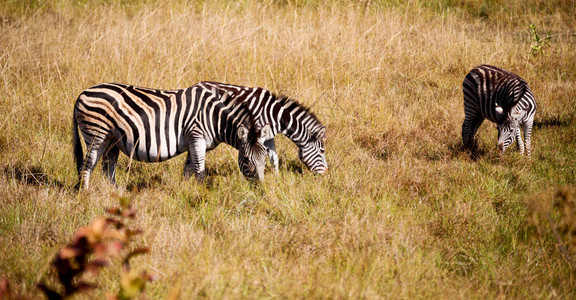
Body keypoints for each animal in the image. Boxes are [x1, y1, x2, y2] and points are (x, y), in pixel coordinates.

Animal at [72, 82, 270, 190]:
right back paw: (85, 195)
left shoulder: (193, 141)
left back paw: (115, 194)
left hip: (112, 140)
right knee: (87, 165)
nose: (261, 190)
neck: (214, 116)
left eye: (264, 159)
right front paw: (203, 195)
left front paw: (184, 192)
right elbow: (199, 170)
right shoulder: (197, 136)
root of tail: (82, 93)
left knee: (107, 169)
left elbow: (188, 170)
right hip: (96, 135)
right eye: (246, 159)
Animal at [195, 81, 326, 173]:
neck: (276, 116)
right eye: (321, 151)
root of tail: (197, 84)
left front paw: (277, 180)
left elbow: (274, 159)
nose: (326, 172)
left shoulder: (268, 137)